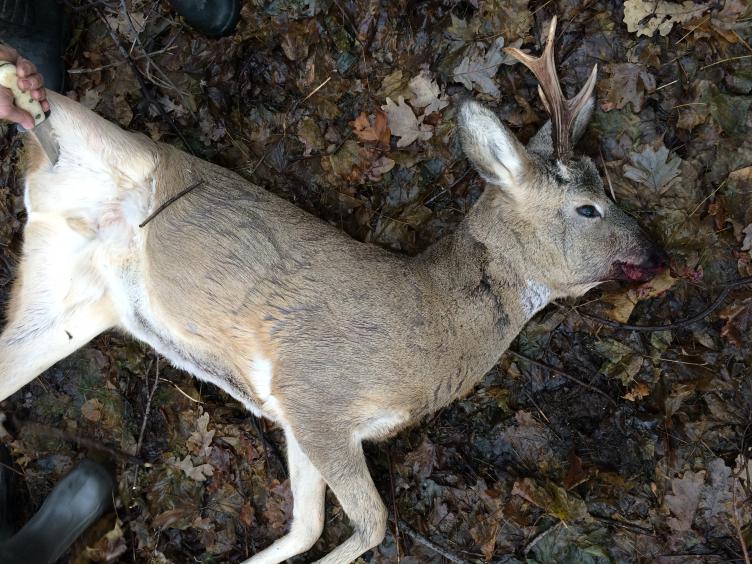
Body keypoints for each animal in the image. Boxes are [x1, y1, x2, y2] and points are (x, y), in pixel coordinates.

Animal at [0, 17, 666, 564]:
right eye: (587, 208)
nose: (655, 251)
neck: (433, 322)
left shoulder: (301, 418)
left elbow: (306, 527)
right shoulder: (316, 391)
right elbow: (369, 526)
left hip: (72, 302)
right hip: (105, 148)